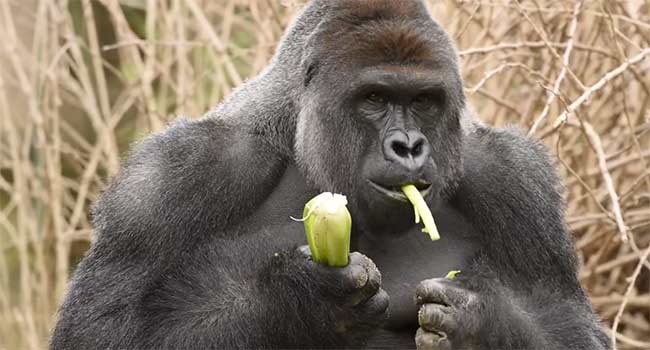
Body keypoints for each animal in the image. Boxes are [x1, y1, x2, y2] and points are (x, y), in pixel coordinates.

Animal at [50, 1, 608, 348]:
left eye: (424, 101)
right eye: (375, 98)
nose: (408, 146)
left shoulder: (516, 179)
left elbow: (573, 330)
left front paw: (482, 322)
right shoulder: (172, 175)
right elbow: (102, 333)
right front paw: (302, 303)